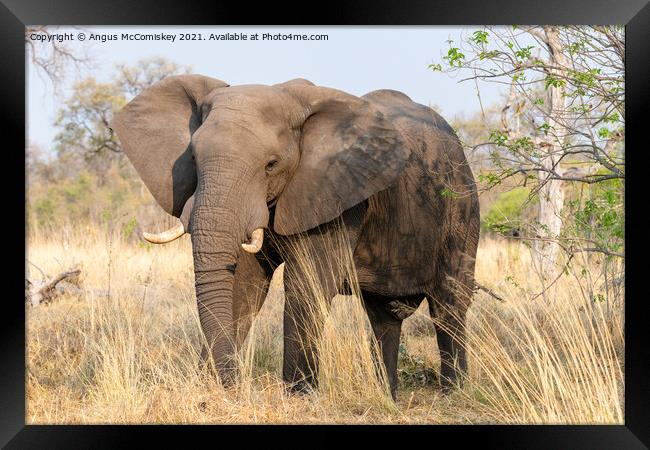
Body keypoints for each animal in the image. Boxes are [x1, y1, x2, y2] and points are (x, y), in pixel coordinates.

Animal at [110, 75, 476, 400]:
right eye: (193, 160)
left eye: (271, 164)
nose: (236, 387)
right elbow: (243, 286)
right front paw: (212, 388)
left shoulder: (337, 195)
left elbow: (306, 284)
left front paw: (299, 397)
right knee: (383, 317)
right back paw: (388, 397)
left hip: (460, 205)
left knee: (449, 303)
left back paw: (453, 394)